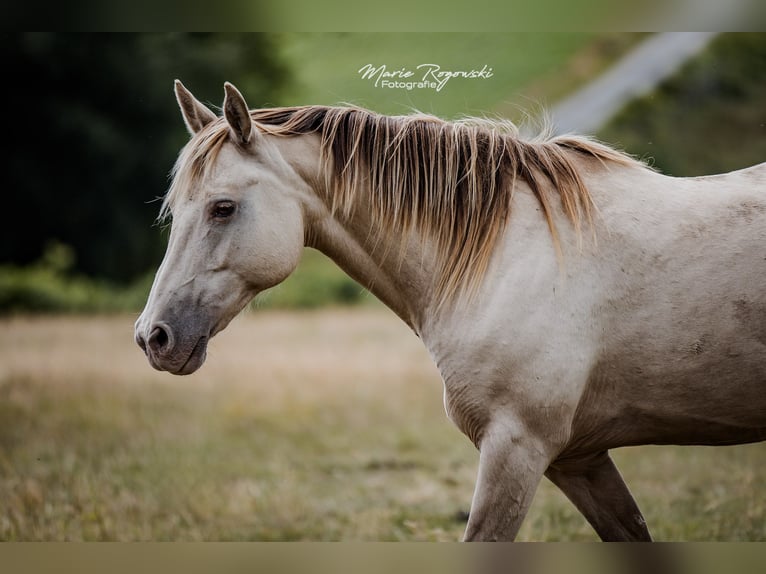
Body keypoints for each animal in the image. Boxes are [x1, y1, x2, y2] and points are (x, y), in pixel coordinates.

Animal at [135, 81, 766, 541]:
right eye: (175, 209)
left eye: (222, 207)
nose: (152, 338)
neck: (505, 254)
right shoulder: (579, 458)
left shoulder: (516, 445)